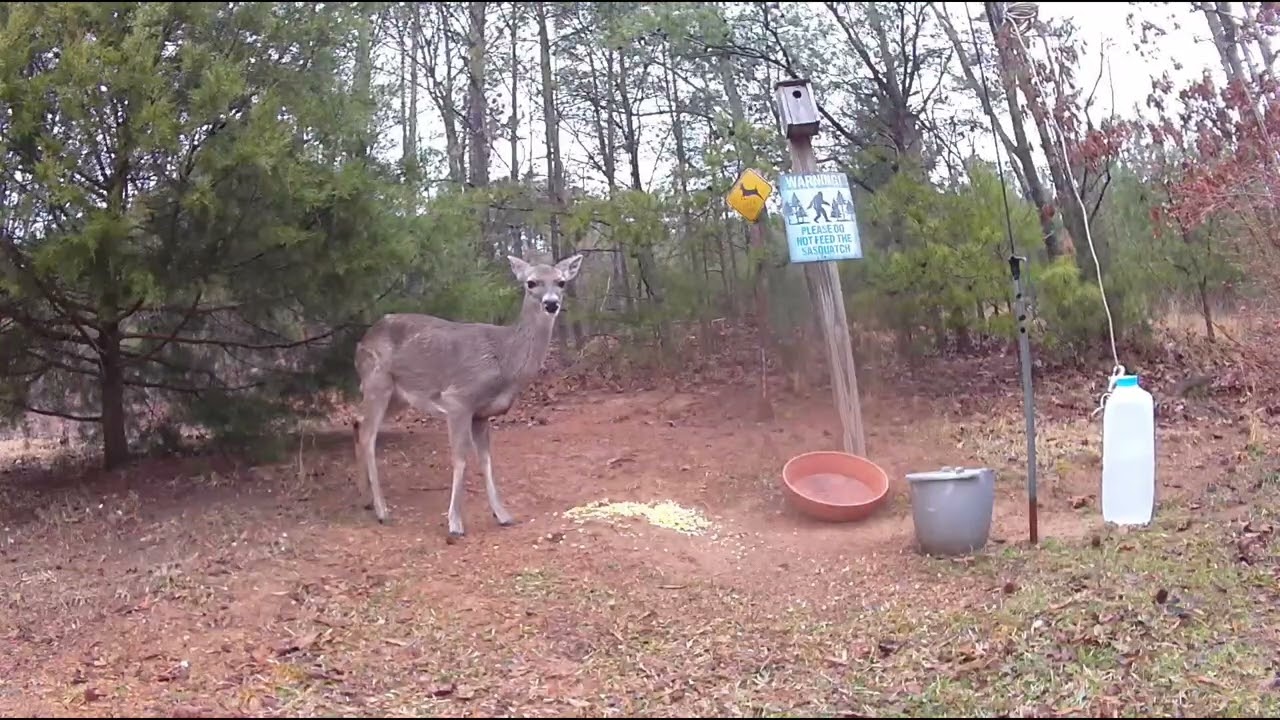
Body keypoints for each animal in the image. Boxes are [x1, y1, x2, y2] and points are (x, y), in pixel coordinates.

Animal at [351, 253, 584, 539]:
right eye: (531, 282)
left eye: (561, 282)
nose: (551, 304)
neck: (505, 359)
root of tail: (362, 342)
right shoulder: (458, 399)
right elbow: (460, 458)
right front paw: (455, 524)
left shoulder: (482, 414)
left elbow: (486, 459)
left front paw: (503, 514)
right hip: (377, 380)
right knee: (368, 434)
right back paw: (383, 511)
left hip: (398, 395)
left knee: (357, 421)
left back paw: (365, 500)